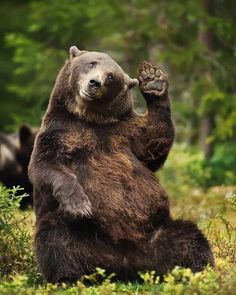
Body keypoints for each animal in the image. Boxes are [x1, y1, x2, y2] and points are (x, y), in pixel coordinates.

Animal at [28, 46, 214, 284]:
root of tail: (124, 265)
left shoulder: (126, 130)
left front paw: (153, 80)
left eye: (111, 76)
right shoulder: (61, 132)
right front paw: (80, 204)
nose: (94, 83)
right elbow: (46, 165)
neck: (90, 117)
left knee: (190, 238)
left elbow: (153, 143)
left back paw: (199, 271)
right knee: (57, 243)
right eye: (92, 63)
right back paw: (68, 278)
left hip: (157, 233)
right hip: (75, 232)